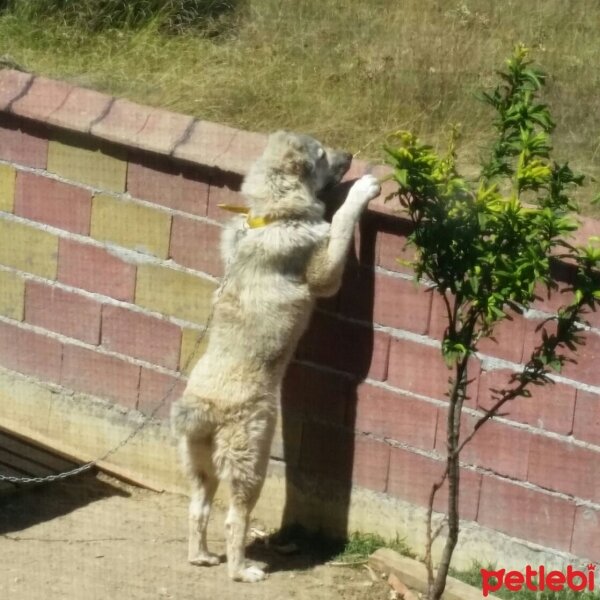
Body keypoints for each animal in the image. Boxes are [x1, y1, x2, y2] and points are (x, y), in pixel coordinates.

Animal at [171, 130, 382, 580]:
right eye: (322, 156)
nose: (351, 155)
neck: (272, 213)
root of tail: (201, 409)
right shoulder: (324, 271)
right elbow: (341, 225)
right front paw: (362, 189)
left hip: (199, 465)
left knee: (197, 510)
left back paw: (202, 557)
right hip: (253, 458)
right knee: (234, 519)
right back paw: (242, 570)